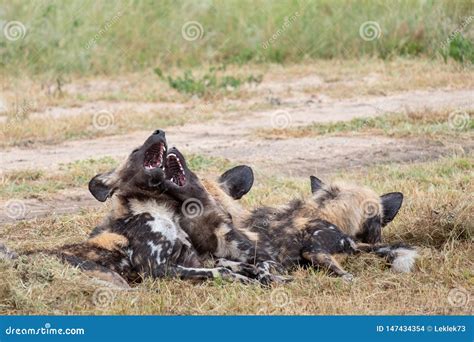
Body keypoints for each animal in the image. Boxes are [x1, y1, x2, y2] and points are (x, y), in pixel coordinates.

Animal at [0, 130, 256, 288]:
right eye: (134, 151)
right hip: (116, 280)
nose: (159, 131)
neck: (159, 209)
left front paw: (259, 273)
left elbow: (234, 264)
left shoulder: (192, 259)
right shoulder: (157, 269)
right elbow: (223, 271)